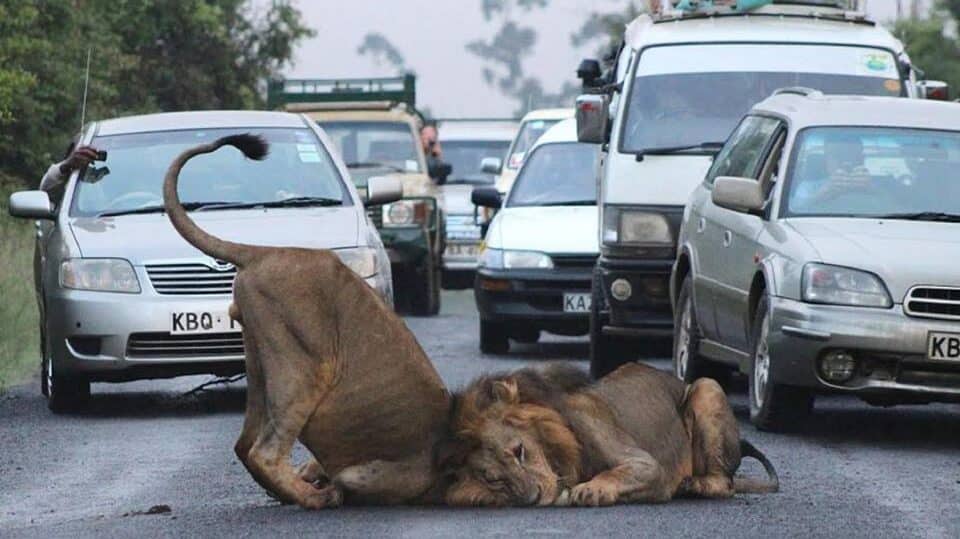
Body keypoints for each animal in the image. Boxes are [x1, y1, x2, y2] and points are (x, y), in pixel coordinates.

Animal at [163, 134, 451, 508]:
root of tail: (265, 252)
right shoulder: (392, 474)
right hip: (304, 366)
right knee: (264, 452)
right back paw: (316, 498)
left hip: (260, 360)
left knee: (244, 444)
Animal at [444, 363, 778, 507]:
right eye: (494, 479)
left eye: (519, 451)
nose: (532, 498)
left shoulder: (648, 466)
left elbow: (622, 472)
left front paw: (592, 489)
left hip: (707, 386)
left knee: (725, 484)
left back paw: (691, 484)